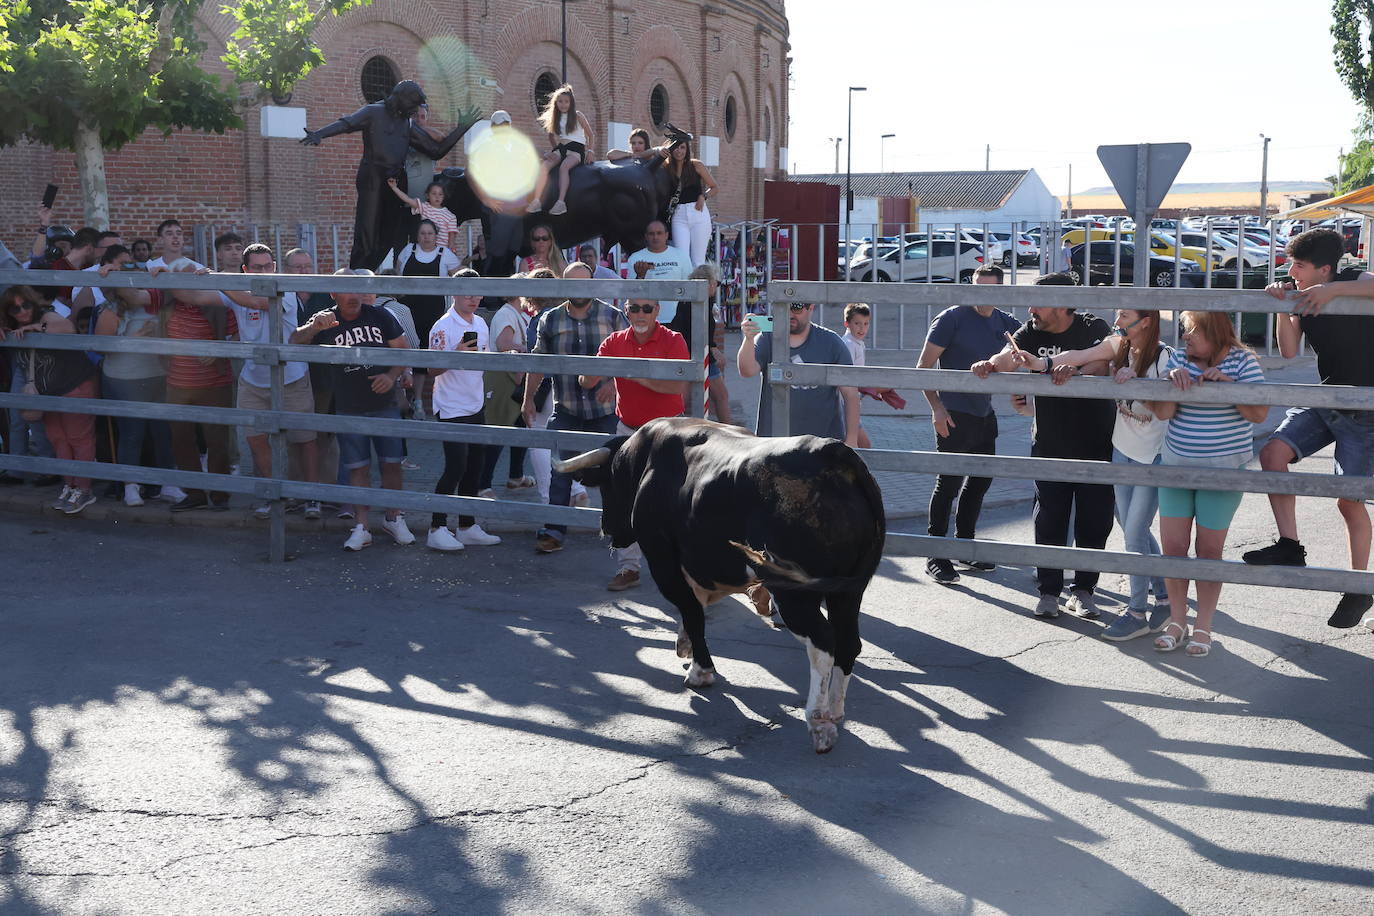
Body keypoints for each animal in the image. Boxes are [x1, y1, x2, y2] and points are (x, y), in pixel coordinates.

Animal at [557, 420, 890, 758]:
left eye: (607, 484)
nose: (606, 529)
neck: (646, 459)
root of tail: (833, 453)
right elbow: (694, 608)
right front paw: (685, 645)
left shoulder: (663, 558)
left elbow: (692, 611)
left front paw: (700, 671)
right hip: (848, 591)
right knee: (849, 642)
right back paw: (835, 710)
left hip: (795, 593)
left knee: (823, 641)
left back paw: (819, 722)